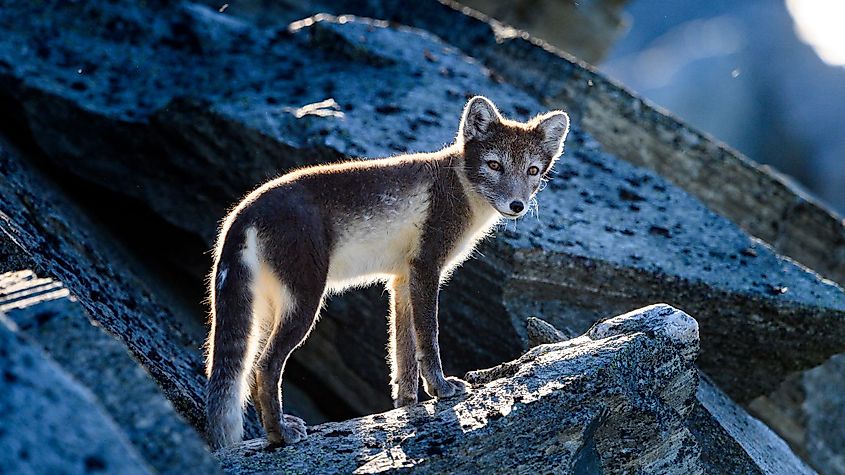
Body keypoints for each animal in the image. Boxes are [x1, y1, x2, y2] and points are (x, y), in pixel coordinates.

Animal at [207, 95, 572, 448]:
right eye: (494, 165)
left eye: (533, 170)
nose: (517, 206)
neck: (459, 185)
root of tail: (243, 210)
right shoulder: (426, 268)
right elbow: (428, 338)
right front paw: (440, 389)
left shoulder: (401, 279)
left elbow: (403, 351)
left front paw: (407, 403)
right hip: (305, 303)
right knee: (266, 366)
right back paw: (280, 434)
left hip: (266, 312)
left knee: (249, 369)